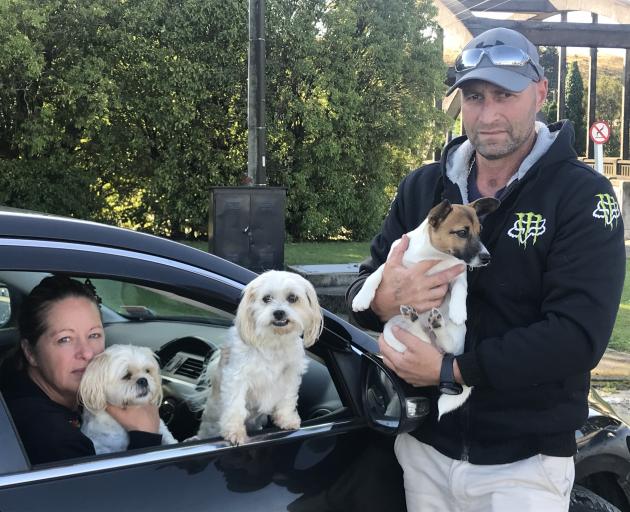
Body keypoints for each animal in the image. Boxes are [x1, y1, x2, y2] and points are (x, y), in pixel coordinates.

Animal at [196, 270, 326, 446]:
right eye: (266, 298)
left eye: (292, 298)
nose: (279, 313)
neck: (274, 340)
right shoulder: (236, 376)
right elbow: (235, 405)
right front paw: (234, 431)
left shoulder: (290, 375)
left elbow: (287, 398)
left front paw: (286, 420)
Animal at [354, 198, 502, 418]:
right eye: (462, 232)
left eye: (480, 230)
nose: (487, 257)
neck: (435, 256)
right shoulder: (392, 265)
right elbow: (375, 275)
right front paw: (362, 298)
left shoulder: (459, 273)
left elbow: (461, 288)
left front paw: (459, 310)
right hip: (393, 331)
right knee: (421, 336)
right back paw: (415, 319)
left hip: (457, 335)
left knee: (443, 346)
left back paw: (436, 323)